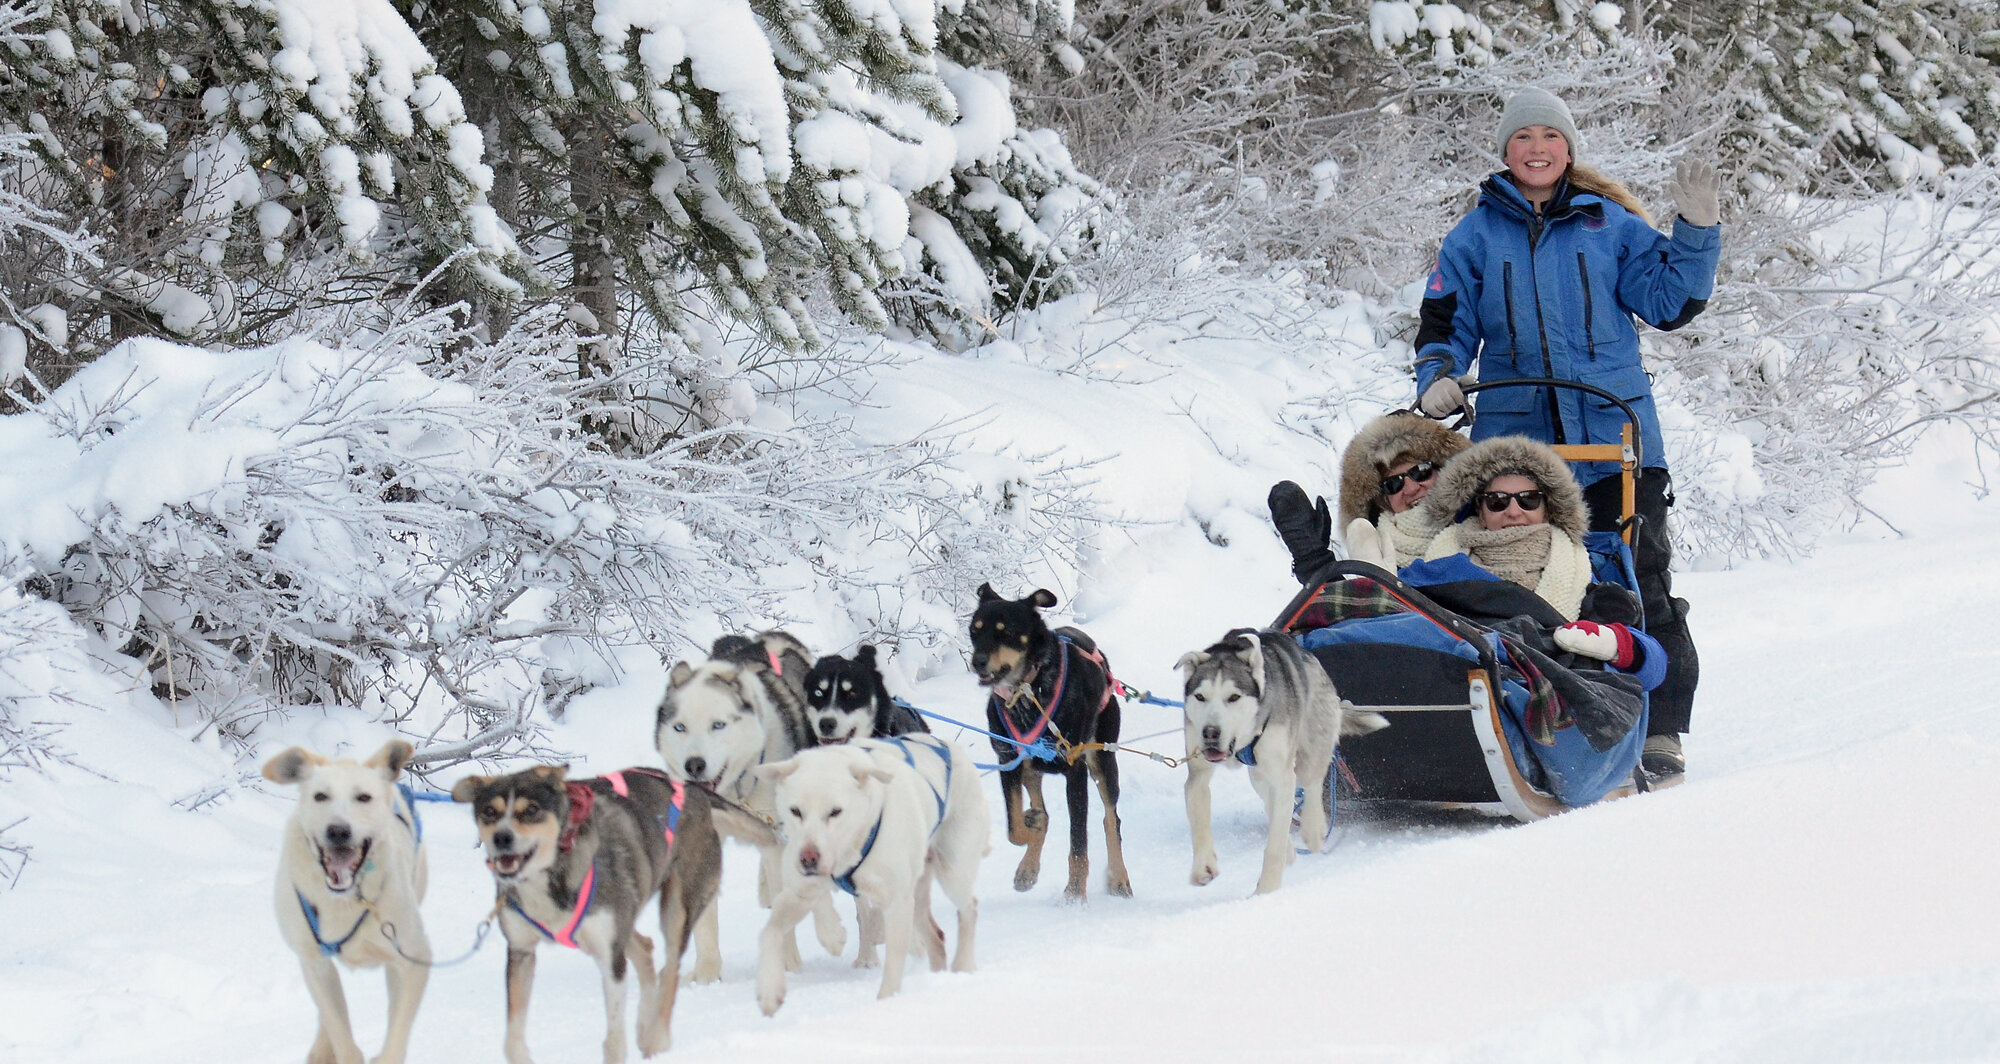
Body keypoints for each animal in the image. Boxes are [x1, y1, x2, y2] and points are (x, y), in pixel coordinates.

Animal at [264, 740, 428, 1064]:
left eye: (363, 797)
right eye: (320, 796)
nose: (338, 830)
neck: (344, 901)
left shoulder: (414, 960)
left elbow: (396, 1039)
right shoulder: (313, 962)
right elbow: (339, 1031)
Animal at [752, 732, 984, 1016]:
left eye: (835, 811)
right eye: (796, 811)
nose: (808, 859)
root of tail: (950, 747)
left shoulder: (896, 904)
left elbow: (893, 960)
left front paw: (886, 1002)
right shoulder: (798, 894)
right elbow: (769, 932)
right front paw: (769, 989)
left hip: (952, 871)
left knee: (969, 908)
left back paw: (963, 965)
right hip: (917, 895)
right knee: (936, 937)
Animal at [972, 588, 1136, 900]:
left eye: (1007, 631)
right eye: (974, 630)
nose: (978, 661)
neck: (1028, 691)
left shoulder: (1075, 771)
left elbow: (1078, 843)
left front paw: (1074, 895)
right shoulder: (1007, 761)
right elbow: (1015, 827)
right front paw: (1030, 823)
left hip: (1103, 761)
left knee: (1112, 820)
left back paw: (1119, 878)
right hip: (1030, 768)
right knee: (1042, 811)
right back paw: (1028, 864)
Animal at [1168, 628, 1392, 892]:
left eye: (1233, 697)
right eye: (1200, 696)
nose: (1210, 733)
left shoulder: (1283, 776)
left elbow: (1273, 845)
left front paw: (1267, 889)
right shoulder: (1199, 774)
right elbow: (1200, 822)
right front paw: (1203, 866)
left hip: (1310, 747)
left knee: (1311, 783)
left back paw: (1314, 828)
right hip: (1259, 775)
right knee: (1272, 802)